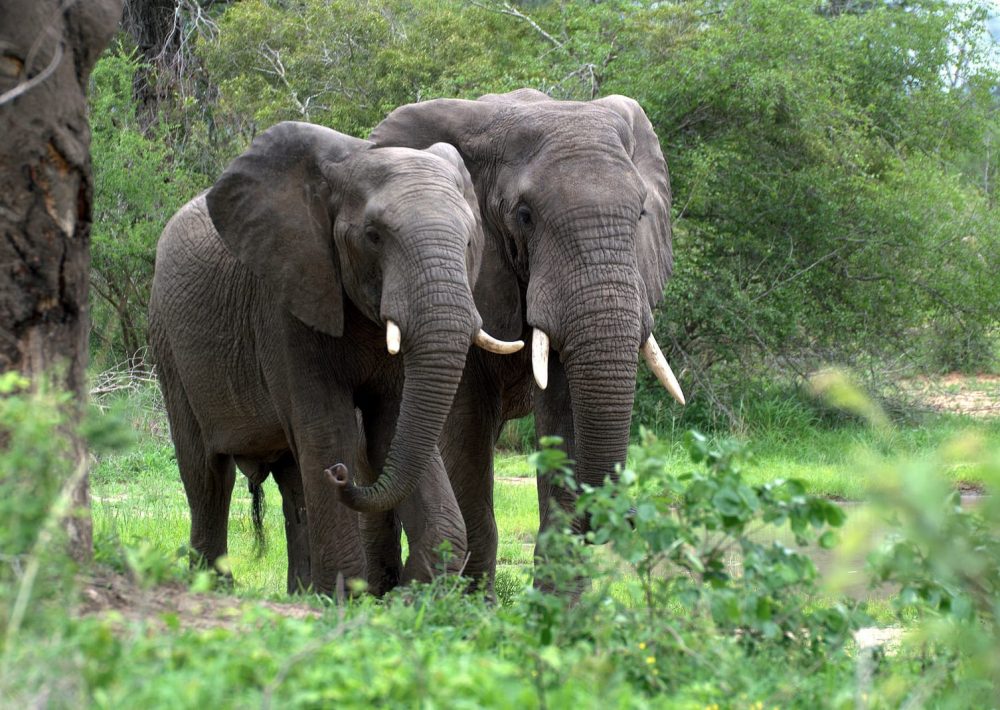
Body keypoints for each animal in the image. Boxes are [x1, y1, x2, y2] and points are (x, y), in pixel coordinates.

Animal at [150, 121, 524, 596]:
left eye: (471, 240)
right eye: (373, 236)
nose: (343, 475)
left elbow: (393, 429)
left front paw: (407, 595)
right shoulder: (285, 301)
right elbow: (327, 428)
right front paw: (343, 600)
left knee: (291, 480)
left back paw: (301, 593)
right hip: (168, 341)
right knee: (207, 475)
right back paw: (215, 589)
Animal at [362, 90, 688, 596]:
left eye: (640, 214)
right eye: (524, 216)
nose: (628, 516)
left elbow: (565, 408)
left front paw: (559, 608)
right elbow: (465, 426)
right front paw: (474, 606)